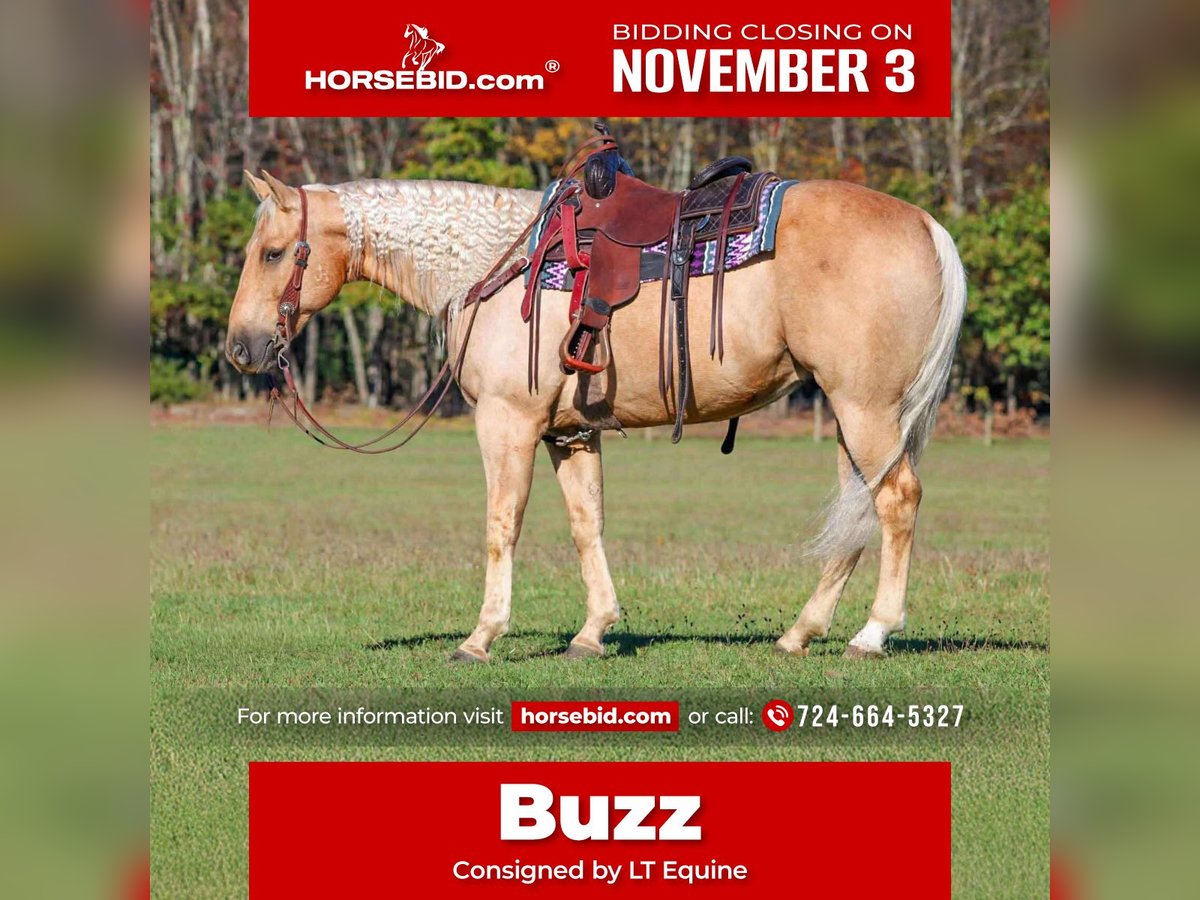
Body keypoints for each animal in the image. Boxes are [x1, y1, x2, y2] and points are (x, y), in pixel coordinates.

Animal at [225, 166, 966, 663]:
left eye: (272, 253)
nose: (241, 347)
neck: (496, 264)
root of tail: (927, 227)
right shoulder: (570, 434)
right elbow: (588, 526)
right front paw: (593, 632)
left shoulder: (508, 424)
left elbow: (502, 525)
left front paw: (481, 636)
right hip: (853, 417)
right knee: (856, 512)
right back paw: (799, 634)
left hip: (866, 411)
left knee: (896, 501)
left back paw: (872, 634)